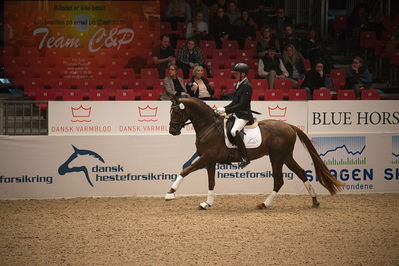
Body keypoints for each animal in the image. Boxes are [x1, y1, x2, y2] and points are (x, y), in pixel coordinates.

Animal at [164, 95, 346, 210]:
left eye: (176, 111)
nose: (172, 131)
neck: (209, 126)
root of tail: (289, 126)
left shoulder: (207, 157)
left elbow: (185, 170)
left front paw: (170, 193)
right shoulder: (210, 160)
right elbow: (211, 182)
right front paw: (207, 203)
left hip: (277, 157)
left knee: (279, 180)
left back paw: (264, 204)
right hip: (286, 156)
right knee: (301, 173)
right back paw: (314, 201)